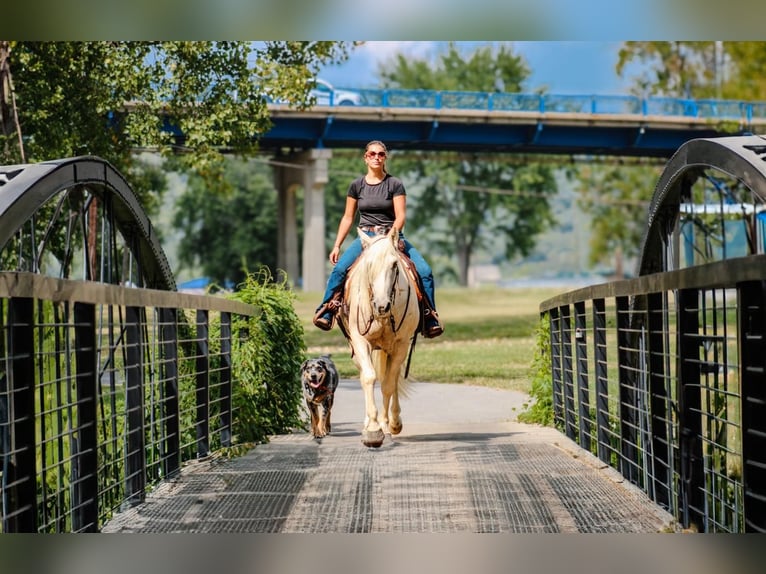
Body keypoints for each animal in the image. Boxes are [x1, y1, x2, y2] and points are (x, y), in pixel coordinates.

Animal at [340, 227, 424, 448]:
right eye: (368, 264)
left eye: (394, 265)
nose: (381, 306)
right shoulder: (360, 341)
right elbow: (369, 378)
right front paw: (372, 429)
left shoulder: (401, 345)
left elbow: (388, 384)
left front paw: (387, 426)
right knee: (365, 375)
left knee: (392, 379)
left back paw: (393, 422)